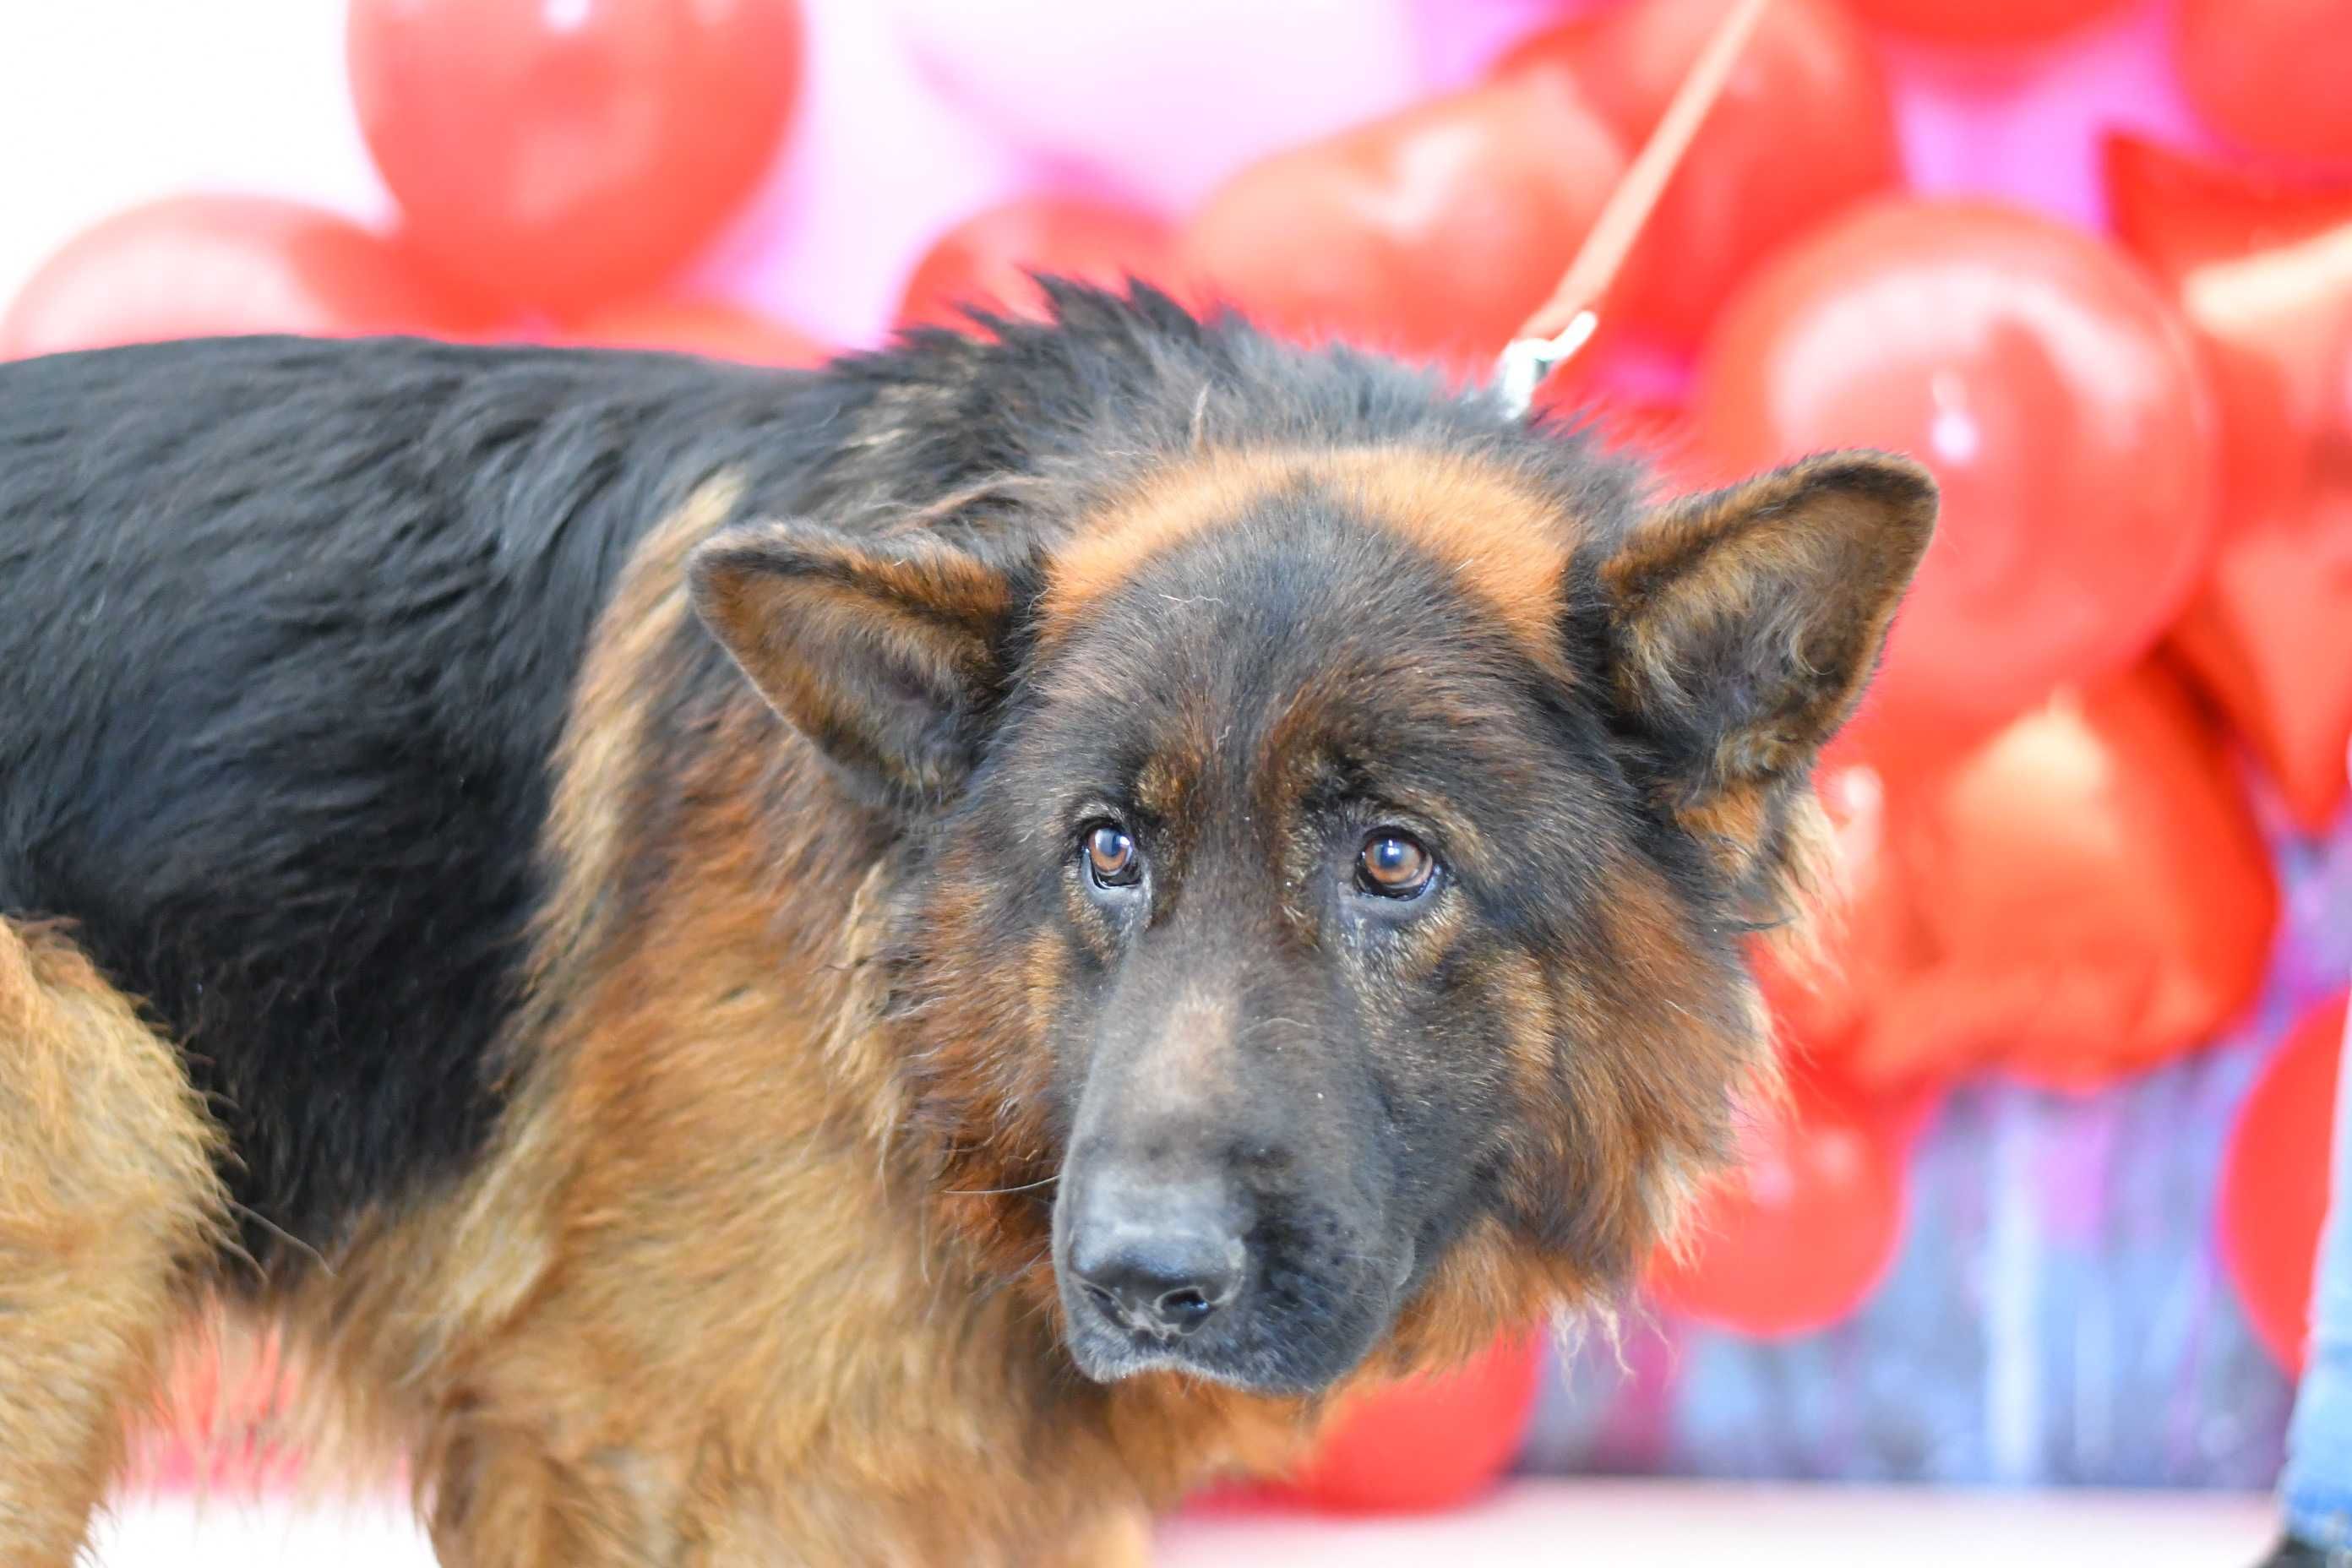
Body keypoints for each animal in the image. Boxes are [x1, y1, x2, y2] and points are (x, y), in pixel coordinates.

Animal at [0, 287, 1928, 1560]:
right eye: (1106, 849)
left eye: (1394, 861)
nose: (1146, 1278)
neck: (918, 1047)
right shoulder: (649, 1453)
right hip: (105, 1130)